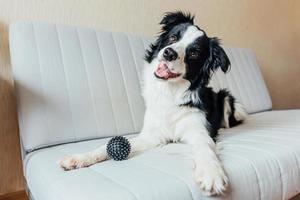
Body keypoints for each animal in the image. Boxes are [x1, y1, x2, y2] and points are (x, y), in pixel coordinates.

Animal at [60, 11, 246, 196]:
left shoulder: (198, 130)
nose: (169, 53)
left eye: (194, 53)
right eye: (173, 37)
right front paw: (80, 158)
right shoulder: (152, 135)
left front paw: (211, 173)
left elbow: (205, 148)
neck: (170, 92)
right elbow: (104, 146)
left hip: (225, 96)